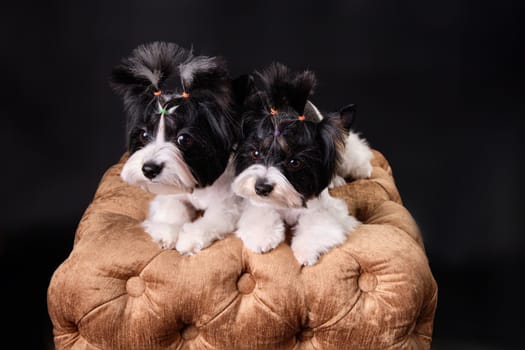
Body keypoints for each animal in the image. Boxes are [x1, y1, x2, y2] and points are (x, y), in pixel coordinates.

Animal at [111, 41, 241, 254]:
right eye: (144, 135)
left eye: (184, 139)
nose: (149, 169)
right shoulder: (170, 191)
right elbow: (171, 207)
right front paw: (168, 231)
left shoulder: (227, 203)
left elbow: (213, 218)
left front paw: (189, 238)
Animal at [231, 63, 370, 266]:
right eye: (255, 153)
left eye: (294, 162)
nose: (261, 188)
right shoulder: (258, 203)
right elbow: (261, 213)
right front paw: (262, 238)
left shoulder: (325, 208)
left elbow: (318, 223)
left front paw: (306, 250)